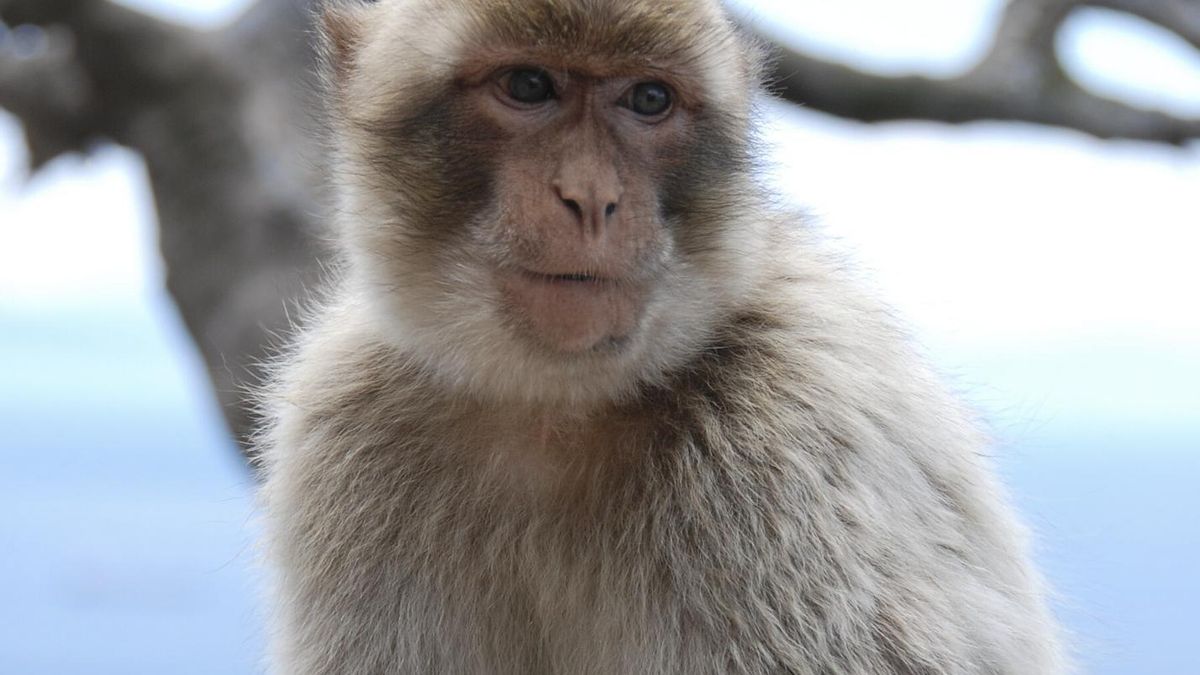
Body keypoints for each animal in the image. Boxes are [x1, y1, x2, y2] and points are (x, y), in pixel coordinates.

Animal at [257, 0, 1068, 673]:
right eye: (528, 85)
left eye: (649, 100)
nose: (592, 198)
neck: (556, 406)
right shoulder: (346, 424)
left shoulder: (781, 446)